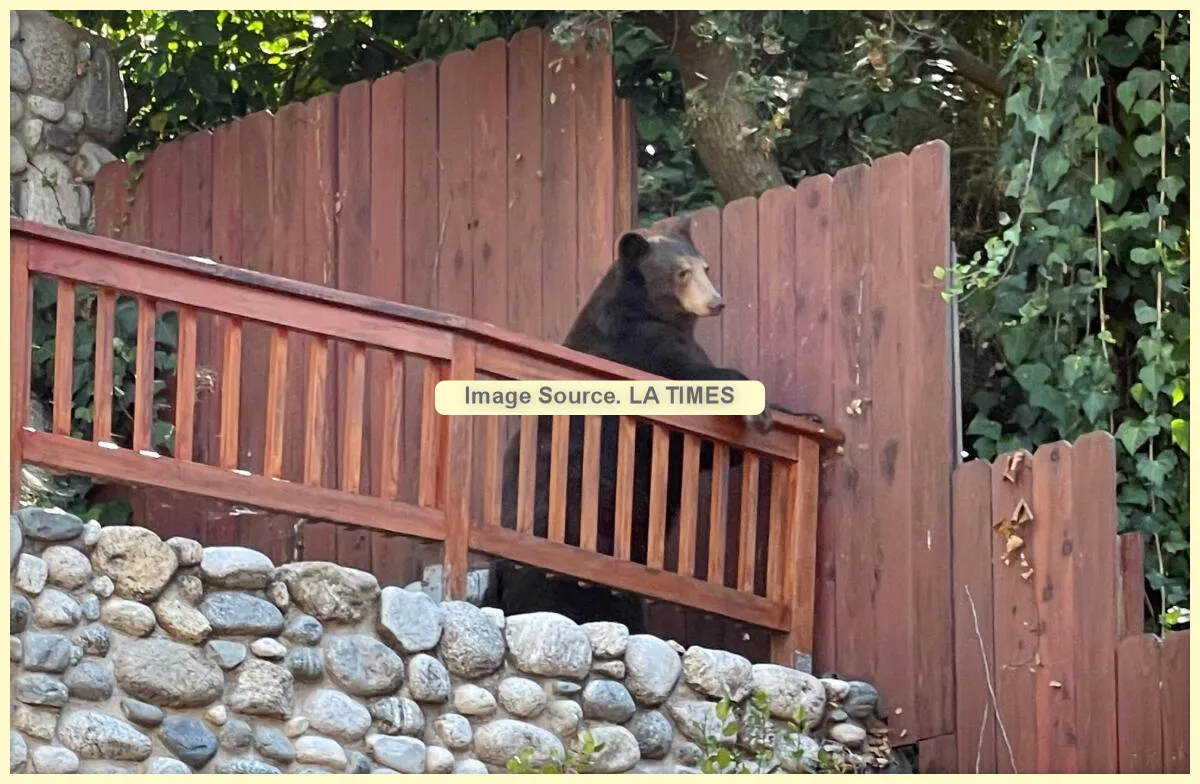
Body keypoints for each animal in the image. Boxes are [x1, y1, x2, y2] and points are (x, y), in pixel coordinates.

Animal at [477, 213, 796, 629]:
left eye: (705, 267)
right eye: (680, 272)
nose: (716, 301)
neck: (648, 310)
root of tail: (498, 573)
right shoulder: (639, 350)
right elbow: (693, 383)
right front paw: (758, 410)